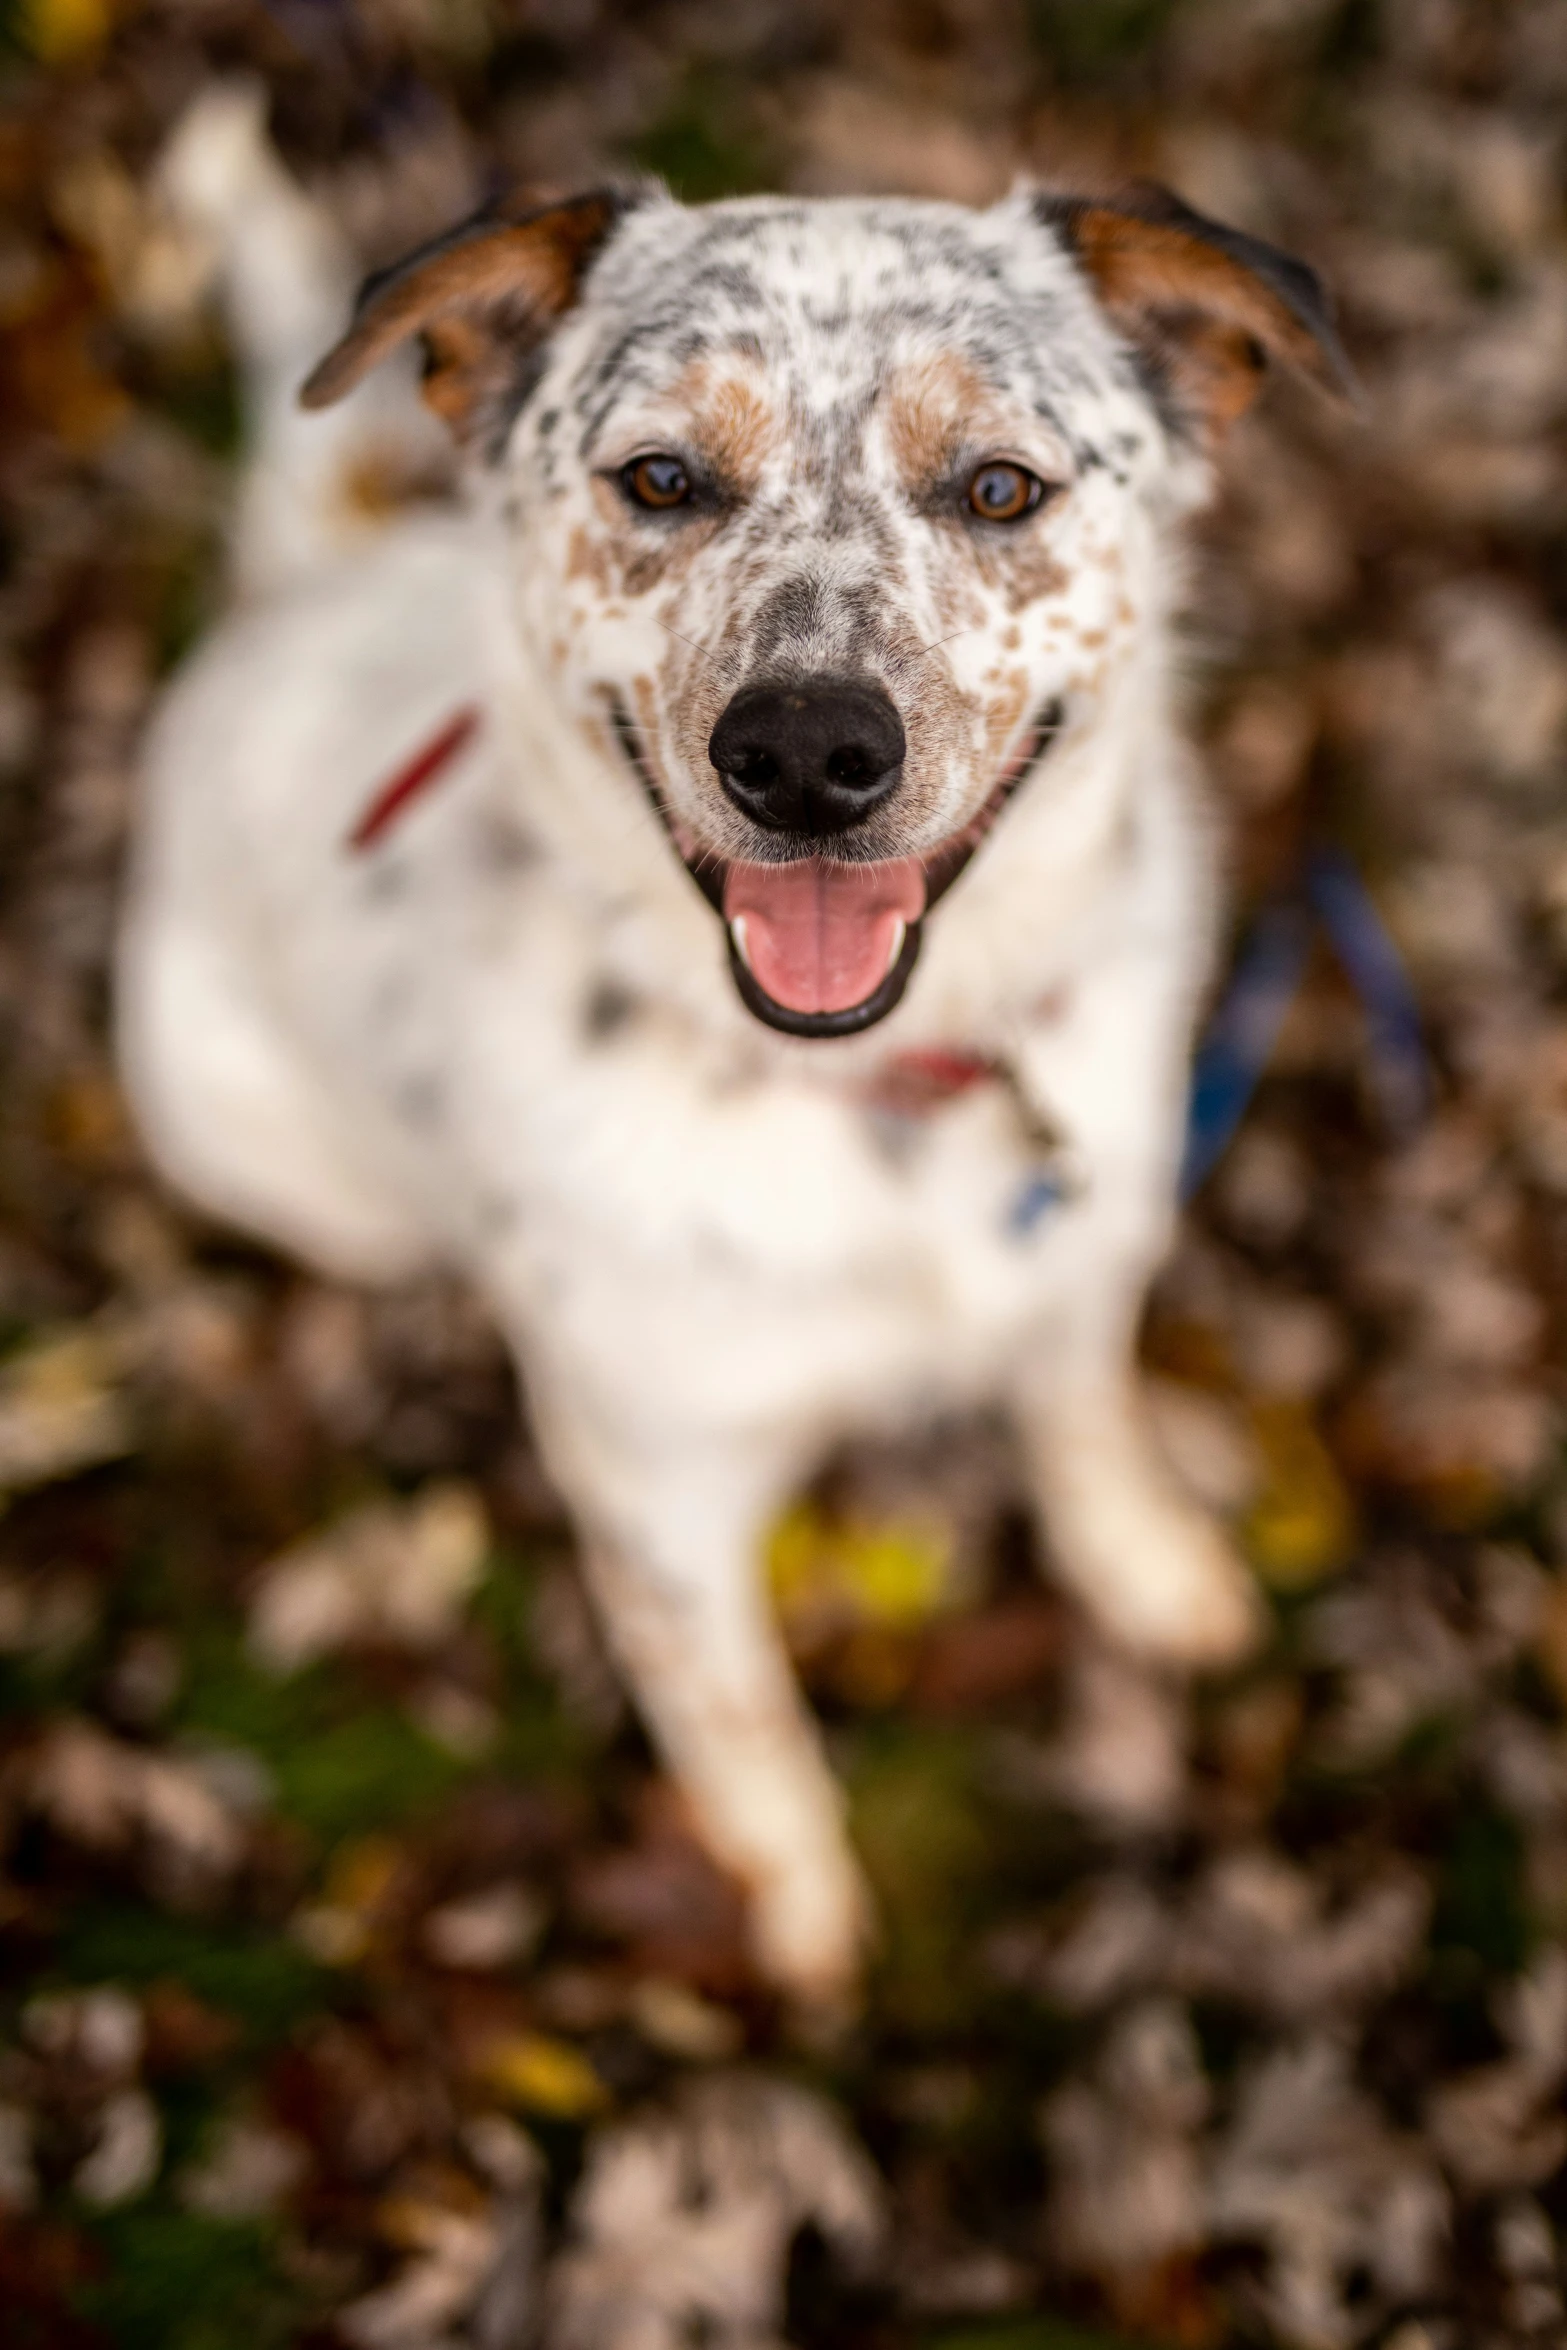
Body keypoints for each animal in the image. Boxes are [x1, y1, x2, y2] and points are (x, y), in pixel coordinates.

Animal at [119, 86, 1353, 2002]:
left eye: (997, 485)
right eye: (659, 480)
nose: (804, 753)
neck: (871, 1108)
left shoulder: (1077, 1269)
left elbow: (1081, 1425)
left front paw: (1149, 1568)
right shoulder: (665, 1499)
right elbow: (736, 1716)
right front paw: (792, 1906)